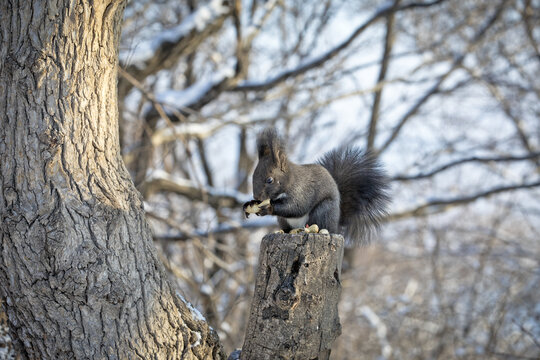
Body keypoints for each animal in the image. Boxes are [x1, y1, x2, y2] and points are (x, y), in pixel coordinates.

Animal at [243, 127, 390, 245]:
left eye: (269, 180)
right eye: (253, 176)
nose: (257, 196)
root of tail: (336, 225)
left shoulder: (302, 191)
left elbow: (297, 207)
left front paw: (267, 207)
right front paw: (250, 204)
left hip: (323, 211)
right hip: (283, 220)